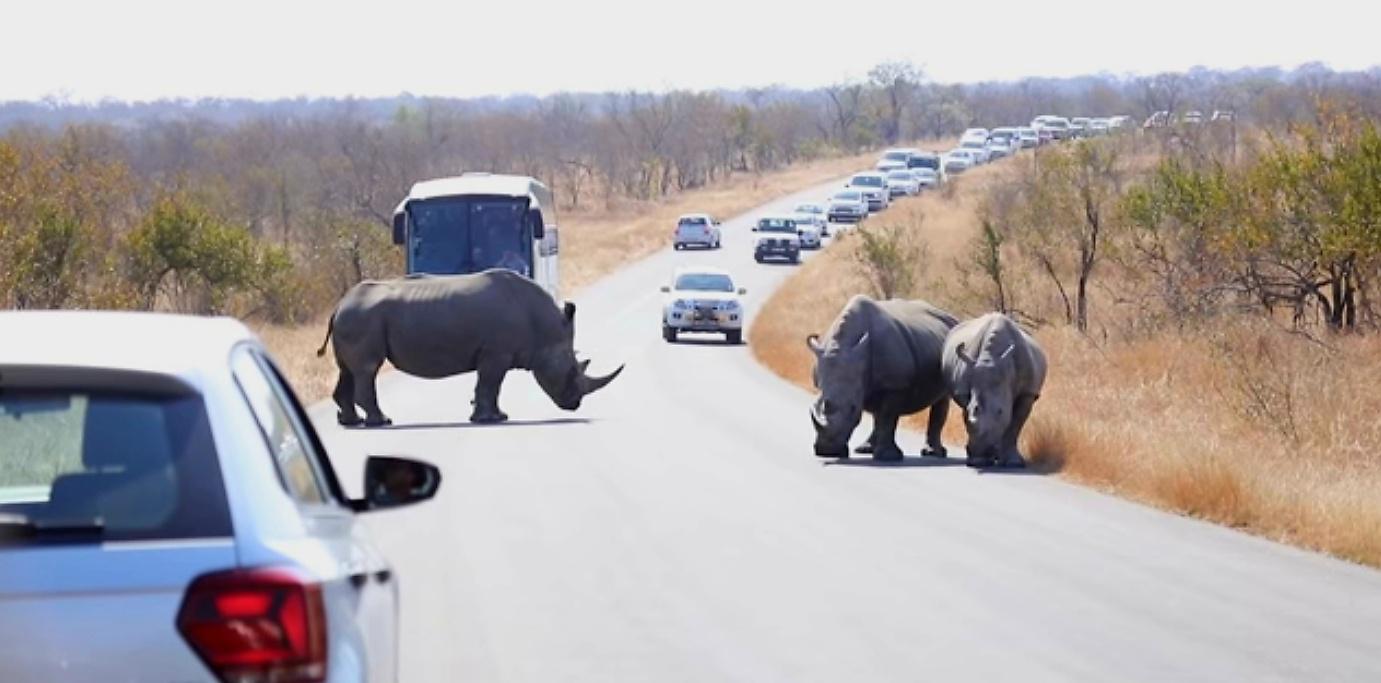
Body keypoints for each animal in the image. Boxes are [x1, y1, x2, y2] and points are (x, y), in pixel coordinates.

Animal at [317, 270, 623, 427]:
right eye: (571, 371)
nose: (574, 404)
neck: (543, 331)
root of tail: (338, 306)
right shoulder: (496, 353)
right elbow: (490, 385)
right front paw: (490, 420)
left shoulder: (495, 353)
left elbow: (489, 387)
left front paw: (499, 416)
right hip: (361, 318)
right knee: (367, 370)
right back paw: (382, 422)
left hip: (354, 317)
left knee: (348, 371)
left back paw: (351, 422)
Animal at [807, 295, 958, 462]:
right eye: (816, 406)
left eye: (853, 409)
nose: (827, 451)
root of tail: (951, 318)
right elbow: (879, 416)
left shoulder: (895, 385)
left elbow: (887, 418)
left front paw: (888, 457)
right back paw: (865, 449)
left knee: (942, 399)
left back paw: (933, 453)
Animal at [942, 312, 1047, 468]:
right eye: (974, 409)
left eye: (1000, 411)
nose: (985, 451)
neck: (989, 358)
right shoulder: (963, 390)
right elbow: (967, 417)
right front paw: (978, 459)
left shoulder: (1028, 392)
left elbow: (1015, 426)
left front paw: (1013, 463)